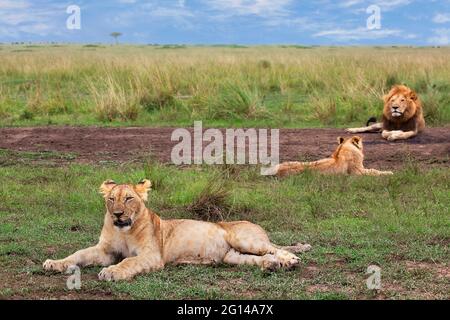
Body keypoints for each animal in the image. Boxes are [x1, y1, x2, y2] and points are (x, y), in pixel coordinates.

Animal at [43, 179, 312, 282]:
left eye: (129, 198)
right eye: (111, 199)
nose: (118, 214)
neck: (123, 230)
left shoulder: (152, 255)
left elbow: (128, 262)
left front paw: (111, 272)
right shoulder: (105, 251)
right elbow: (78, 255)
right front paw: (54, 264)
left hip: (244, 239)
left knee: (274, 247)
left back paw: (291, 260)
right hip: (232, 256)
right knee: (262, 257)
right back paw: (272, 265)